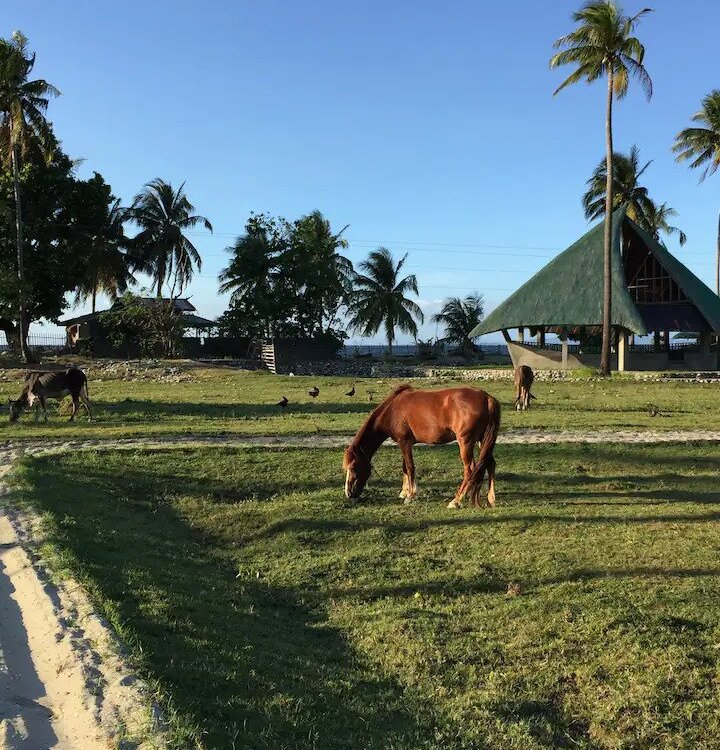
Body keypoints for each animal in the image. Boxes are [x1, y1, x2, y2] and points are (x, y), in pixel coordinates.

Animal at [344, 388, 500, 512]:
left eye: (353, 467)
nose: (348, 494)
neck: (392, 410)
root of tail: (487, 398)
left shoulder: (404, 442)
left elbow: (409, 467)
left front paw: (410, 496)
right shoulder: (405, 444)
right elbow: (405, 468)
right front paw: (404, 492)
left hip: (465, 442)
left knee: (470, 469)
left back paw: (456, 501)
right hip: (482, 440)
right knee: (490, 464)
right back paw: (491, 499)